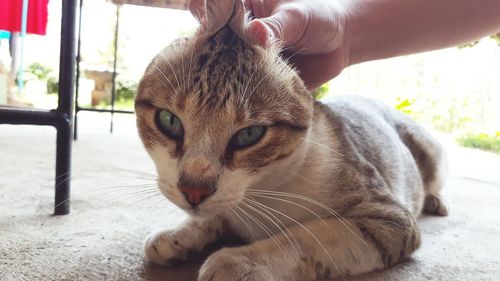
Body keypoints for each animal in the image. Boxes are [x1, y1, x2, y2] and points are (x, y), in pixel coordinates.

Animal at [134, 1, 450, 278]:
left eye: (249, 134)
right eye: (169, 121)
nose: (194, 190)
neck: (262, 190)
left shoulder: (388, 218)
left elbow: (308, 236)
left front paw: (240, 261)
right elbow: (215, 214)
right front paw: (180, 235)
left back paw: (435, 201)